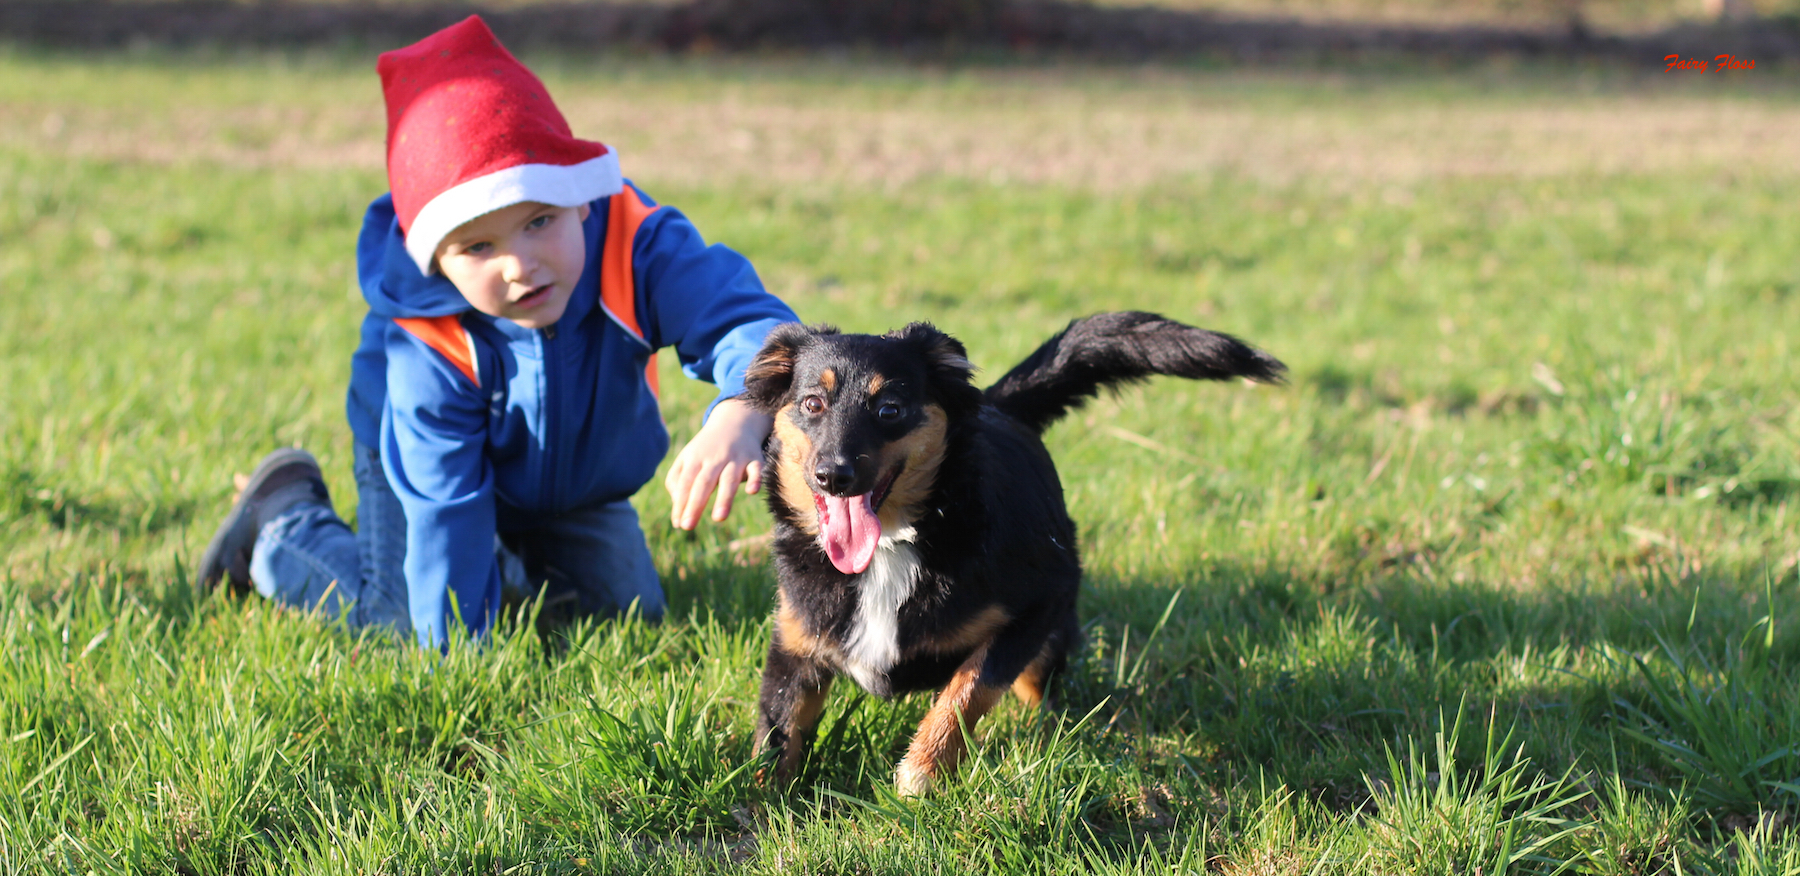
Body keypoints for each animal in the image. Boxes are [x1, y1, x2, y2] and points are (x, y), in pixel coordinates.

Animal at [738, 311, 1288, 795]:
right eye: (813, 404)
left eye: (889, 409)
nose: (834, 474)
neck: (894, 545)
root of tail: (998, 406)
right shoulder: (795, 643)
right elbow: (778, 728)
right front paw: (764, 800)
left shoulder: (1038, 603)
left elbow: (968, 688)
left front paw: (921, 772)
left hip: (1050, 636)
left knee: (1035, 692)